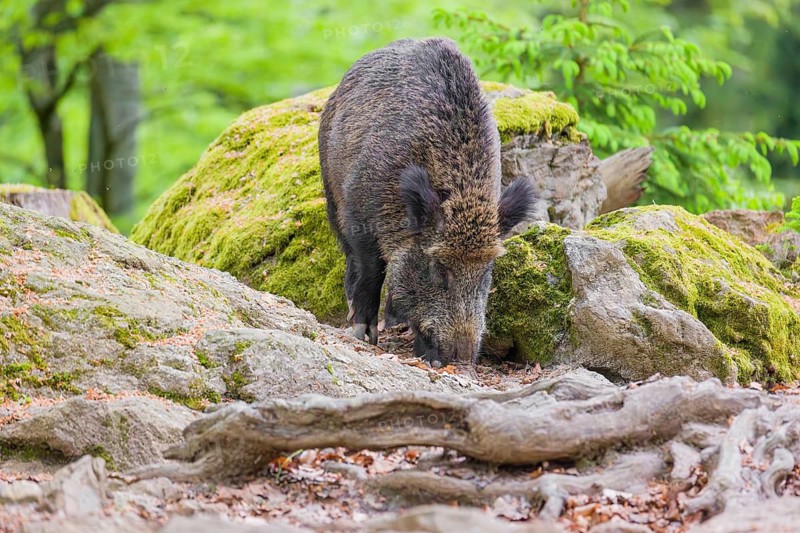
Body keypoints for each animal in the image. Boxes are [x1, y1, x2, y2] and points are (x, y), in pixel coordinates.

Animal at [318, 37, 535, 365]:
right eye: (438, 267)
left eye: (487, 269)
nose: (464, 358)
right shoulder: (360, 214)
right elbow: (371, 270)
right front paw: (363, 334)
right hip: (332, 192)